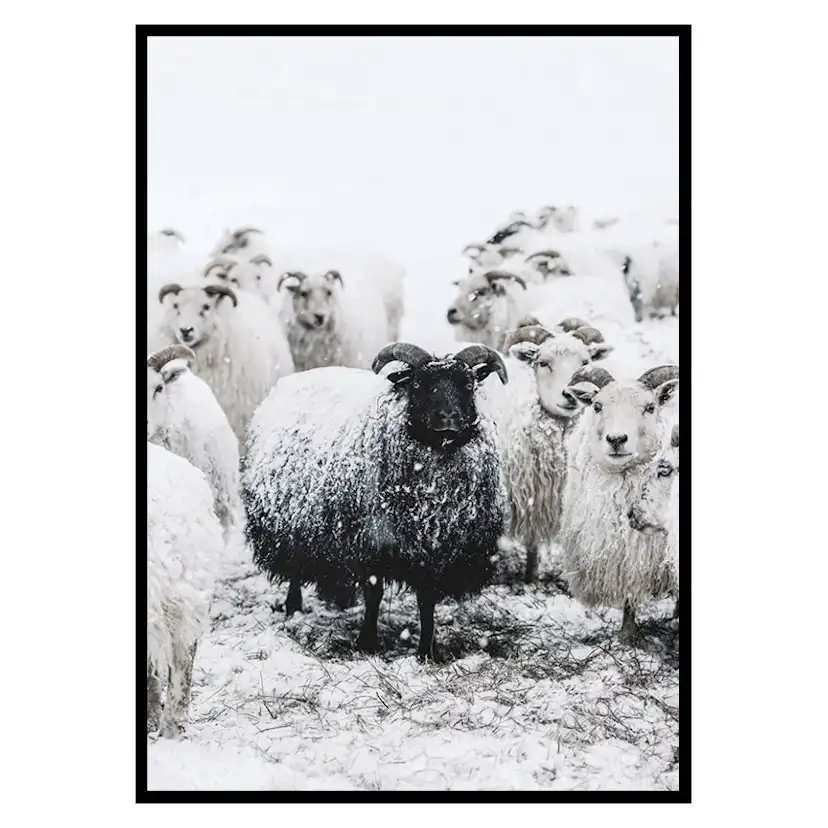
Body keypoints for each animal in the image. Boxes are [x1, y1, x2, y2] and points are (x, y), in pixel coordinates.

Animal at [241, 342, 509, 662]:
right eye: (418, 384)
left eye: (468, 384)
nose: (449, 419)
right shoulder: (371, 542)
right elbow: (374, 594)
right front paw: (367, 642)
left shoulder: (435, 551)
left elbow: (426, 600)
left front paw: (427, 651)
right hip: (291, 524)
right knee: (295, 568)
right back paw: (293, 607)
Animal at [479, 319, 614, 584]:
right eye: (542, 363)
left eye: (585, 363)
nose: (569, 395)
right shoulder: (529, 495)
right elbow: (531, 541)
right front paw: (529, 577)